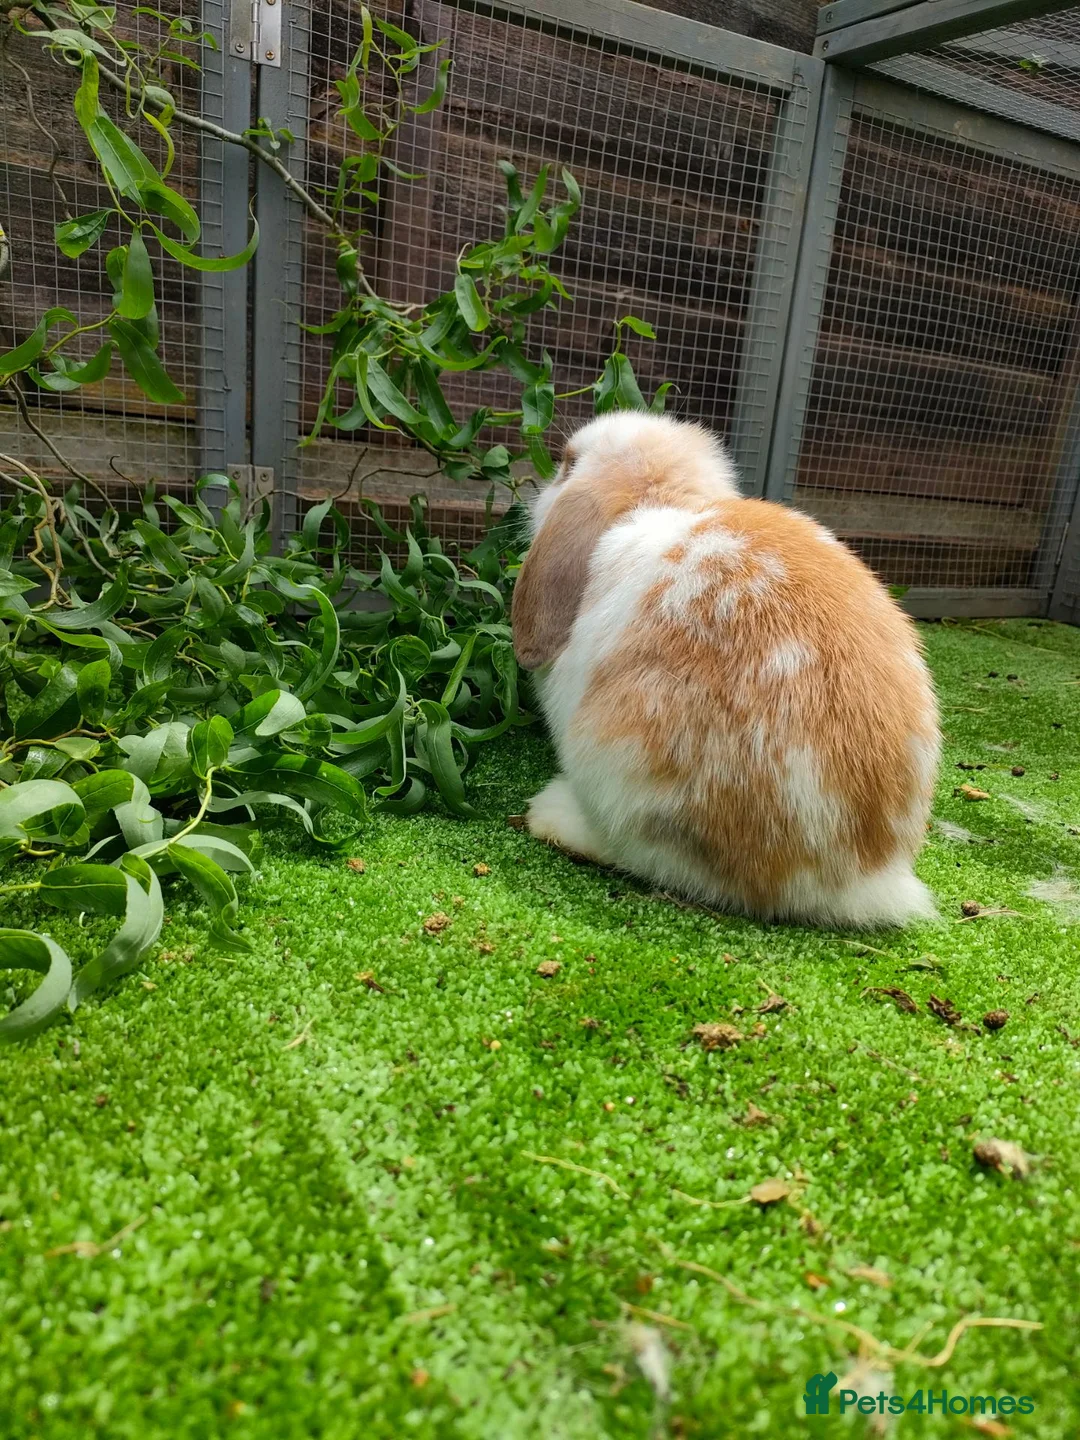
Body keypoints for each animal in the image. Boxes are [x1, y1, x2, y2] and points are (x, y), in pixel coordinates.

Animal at [511, 412, 940, 928]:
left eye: (568, 464)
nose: (532, 488)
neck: (663, 501)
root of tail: (863, 880)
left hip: (623, 761)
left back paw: (552, 816)